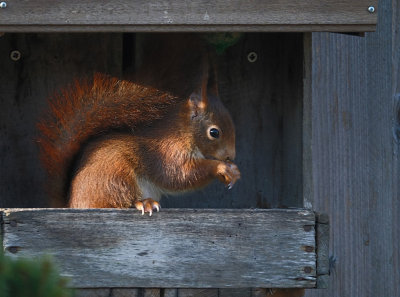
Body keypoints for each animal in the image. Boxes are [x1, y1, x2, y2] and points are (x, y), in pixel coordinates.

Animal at [36, 55, 241, 213]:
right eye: (214, 132)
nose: (230, 156)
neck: (183, 133)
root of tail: (73, 204)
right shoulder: (168, 151)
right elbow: (180, 174)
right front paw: (222, 168)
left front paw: (233, 172)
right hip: (114, 174)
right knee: (116, 201)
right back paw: (143, 202)